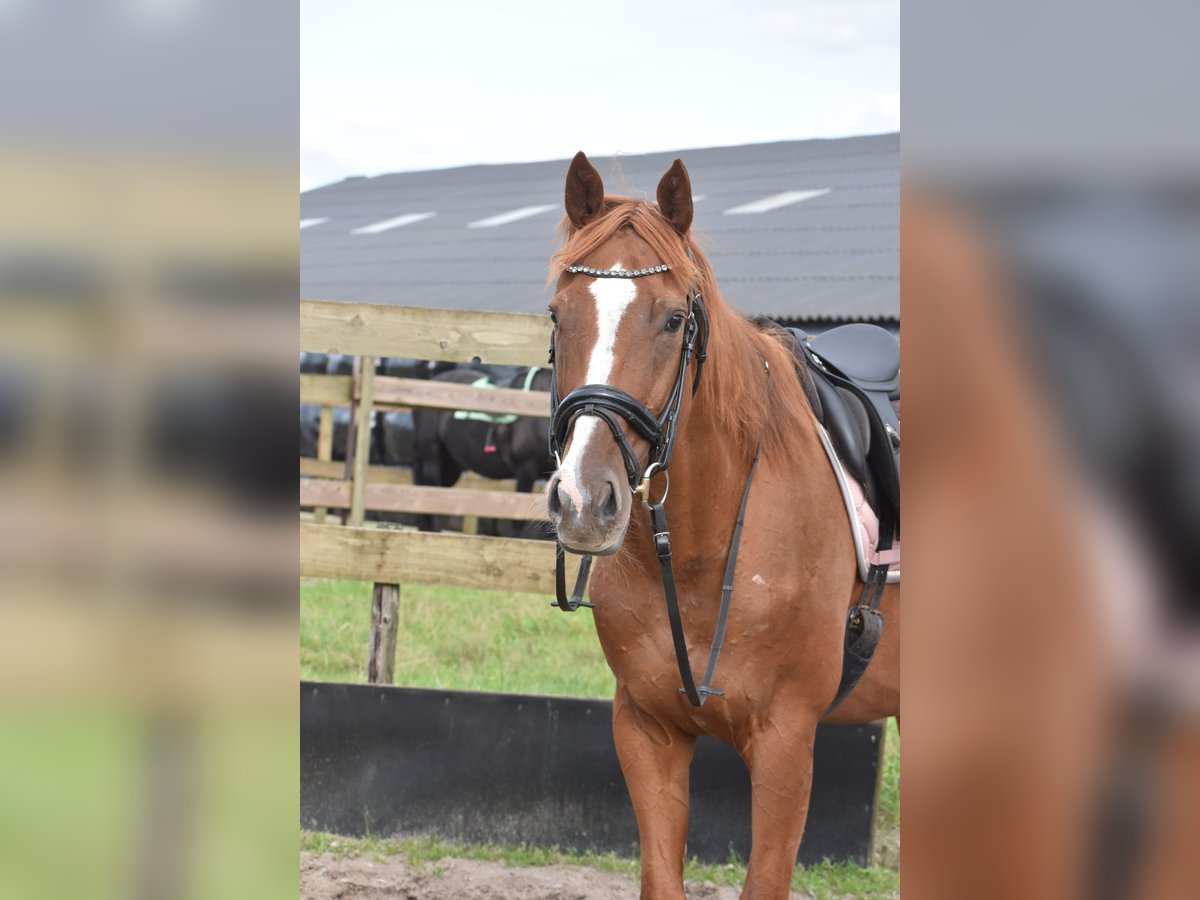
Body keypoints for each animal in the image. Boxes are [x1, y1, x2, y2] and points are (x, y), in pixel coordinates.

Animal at [544, 151, 902, 897]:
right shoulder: (646, 729)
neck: (703, 551)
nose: (585, 501)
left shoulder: (787, 743)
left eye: (674, 319)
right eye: (559, 315)